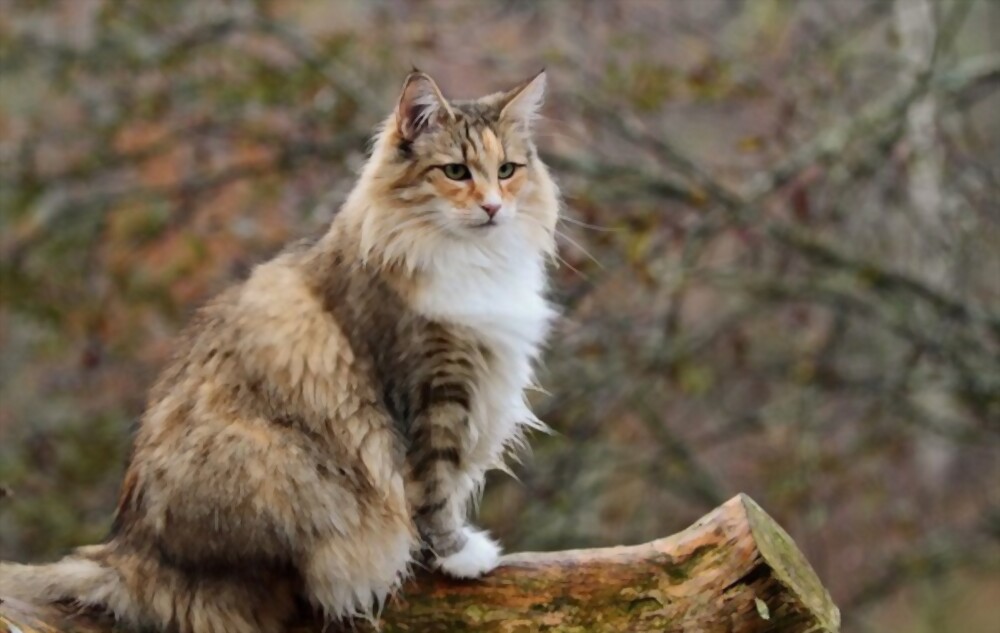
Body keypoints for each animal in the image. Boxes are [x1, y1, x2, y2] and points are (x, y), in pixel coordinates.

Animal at [0, 69, 560, 632]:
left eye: (507, 171)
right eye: (456, 172)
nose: (493, 207)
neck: (473, 261)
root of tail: (129, 553)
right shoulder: (429, 390)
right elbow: (434, 490)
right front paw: (459, 555)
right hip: (276, 460)